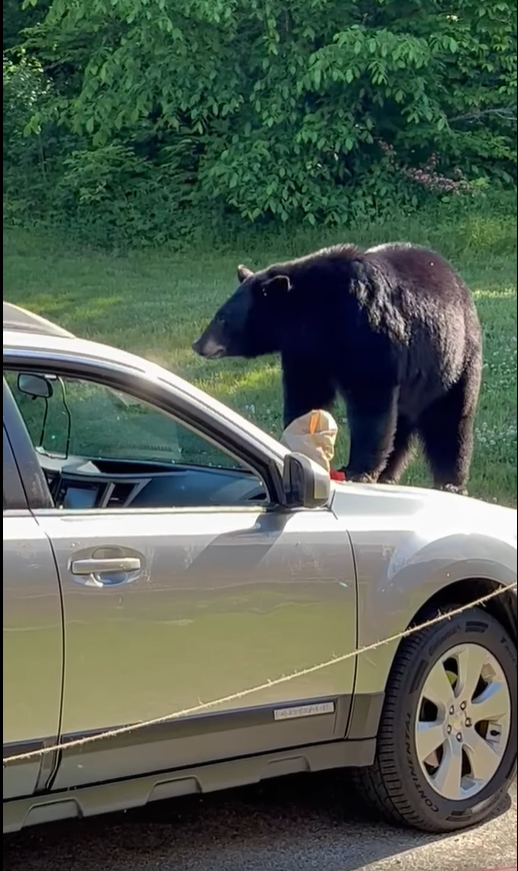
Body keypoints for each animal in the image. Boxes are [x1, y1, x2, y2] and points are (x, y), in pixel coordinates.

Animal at [192, 243, 483, 493]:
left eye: (222, 318)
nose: (198, 344)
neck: (318, 315)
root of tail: (456, 278)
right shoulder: (308, 353)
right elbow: (307, 393)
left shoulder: (367, 332)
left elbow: (370, 403)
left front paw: (358, 470)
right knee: (402, 426)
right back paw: (389, 474)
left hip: (452, 360)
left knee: (449, 420)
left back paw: (450, 482)